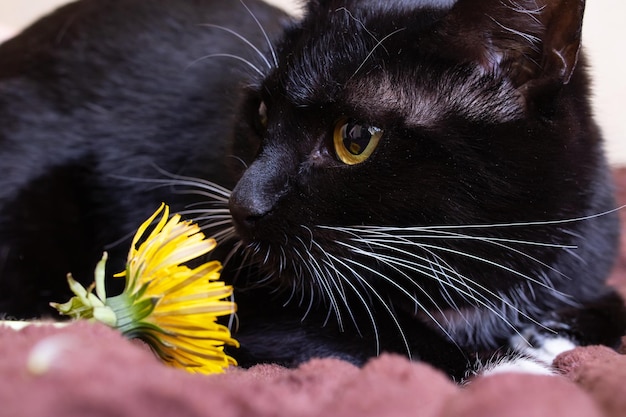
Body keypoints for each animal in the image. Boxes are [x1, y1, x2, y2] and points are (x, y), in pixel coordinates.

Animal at [1, 0, 624, 376]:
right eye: (260, 113)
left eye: (355, 138)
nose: (241, 204)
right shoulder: (239, 304)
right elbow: (392, 343)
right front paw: (518, 366)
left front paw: (552, 337)